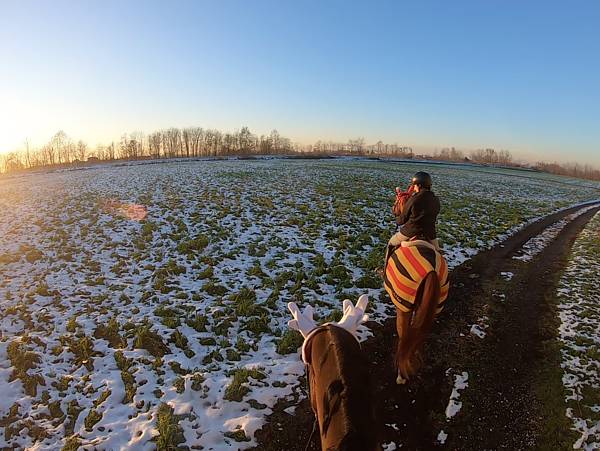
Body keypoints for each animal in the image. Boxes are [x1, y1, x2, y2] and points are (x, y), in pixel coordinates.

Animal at [386, 242, 448, 384]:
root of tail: (432, 270)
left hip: (403, 308)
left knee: (404, 338)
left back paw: (401, 375)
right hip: (430, 309)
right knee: (417, 336)